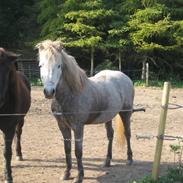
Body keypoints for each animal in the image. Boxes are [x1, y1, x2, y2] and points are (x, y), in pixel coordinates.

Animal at [36, 40, 134, 183]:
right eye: (41, 65)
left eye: (59, 66)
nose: (49, 92)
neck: (71, 94)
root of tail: (125, 77)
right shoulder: (63, 126)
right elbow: (67, 149)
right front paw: (66, 173)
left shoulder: (78, 127)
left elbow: (78, 151)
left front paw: (79, 176)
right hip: (108, 117)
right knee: (110, 135)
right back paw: (107, 161)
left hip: (125, 113)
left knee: (127, 134)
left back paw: (130, 159)